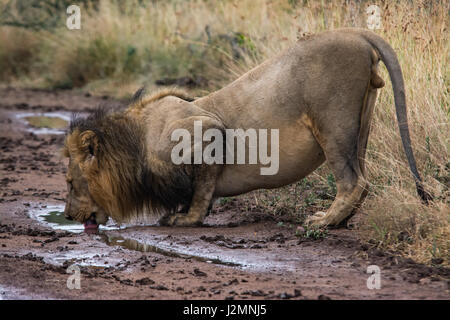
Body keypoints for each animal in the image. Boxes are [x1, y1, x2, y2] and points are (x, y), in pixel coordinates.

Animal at [64, 28, 432, 230]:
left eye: (69, 182)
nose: (66, 215)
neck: (134, 142)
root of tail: (357, 32)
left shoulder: (205, 130)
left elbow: (201, 190)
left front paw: (187, 219)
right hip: (361, 123)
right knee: (362, 176)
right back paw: (339, 221)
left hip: (333, 123)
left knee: (355, 181)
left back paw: (324, 222)